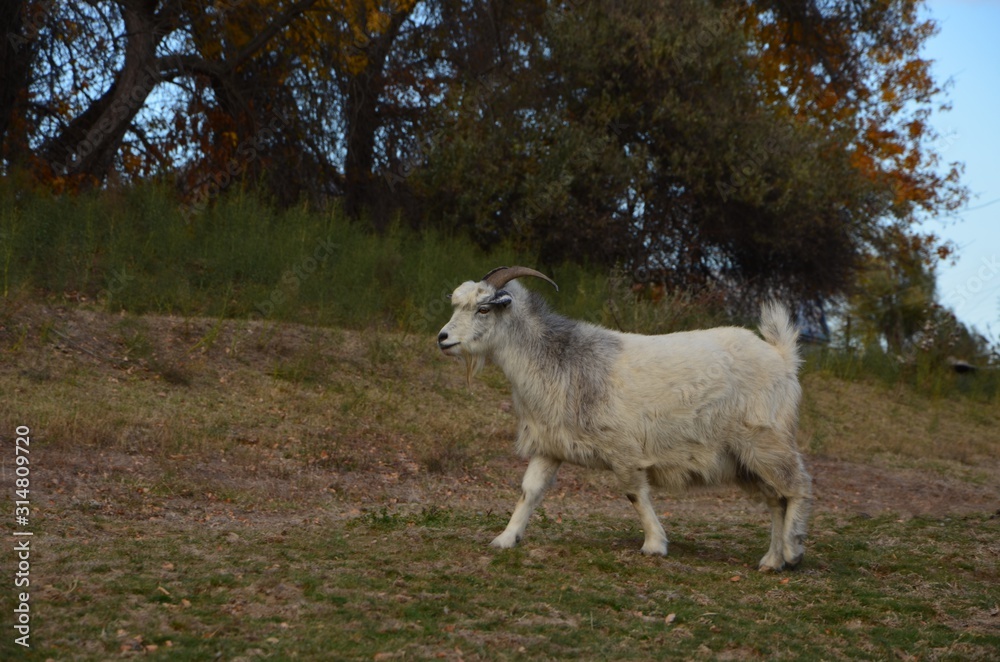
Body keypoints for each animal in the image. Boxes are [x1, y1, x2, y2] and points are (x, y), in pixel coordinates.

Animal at [437, 266, 812, 571]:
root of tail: (781, 356)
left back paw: (792, 552)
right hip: (745, 458)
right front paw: (506, 538)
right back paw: (772, 560)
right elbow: (529, 491)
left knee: (797, 487)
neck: (558, 360)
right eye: (457, 305)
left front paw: (654, 545)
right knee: (776, 499)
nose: (443, 338)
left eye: (483, 309)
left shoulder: (623, 449)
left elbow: (634, 494)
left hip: (766, 441)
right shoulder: (549, 445)